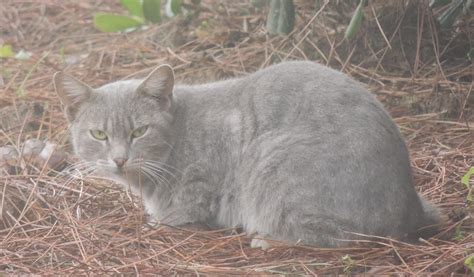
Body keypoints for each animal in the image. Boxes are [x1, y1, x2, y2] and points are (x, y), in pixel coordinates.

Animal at [52, 61, 440, 247]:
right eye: (99, 134)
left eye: (139, 131)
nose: (119, 158)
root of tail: (410, 206)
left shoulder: (195, 196)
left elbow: (175, 217)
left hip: (274, 166)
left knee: (339, 236)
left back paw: (266, 240)